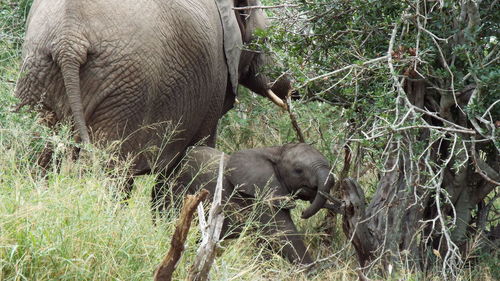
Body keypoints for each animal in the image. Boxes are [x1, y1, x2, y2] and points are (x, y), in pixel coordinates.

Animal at [14, 0, 290, 188]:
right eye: (265, 40)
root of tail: (69, 41)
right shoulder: (217, 77)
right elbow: (191, 160)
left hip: (37, 68)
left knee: (35, 154)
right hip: (126, 87)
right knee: (109, 167)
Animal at [154, 143, 334, 264]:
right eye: (298, 170)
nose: (303, 213)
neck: (275, 150)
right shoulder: (260, 194)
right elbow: (281, 232)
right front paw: (313, 271)